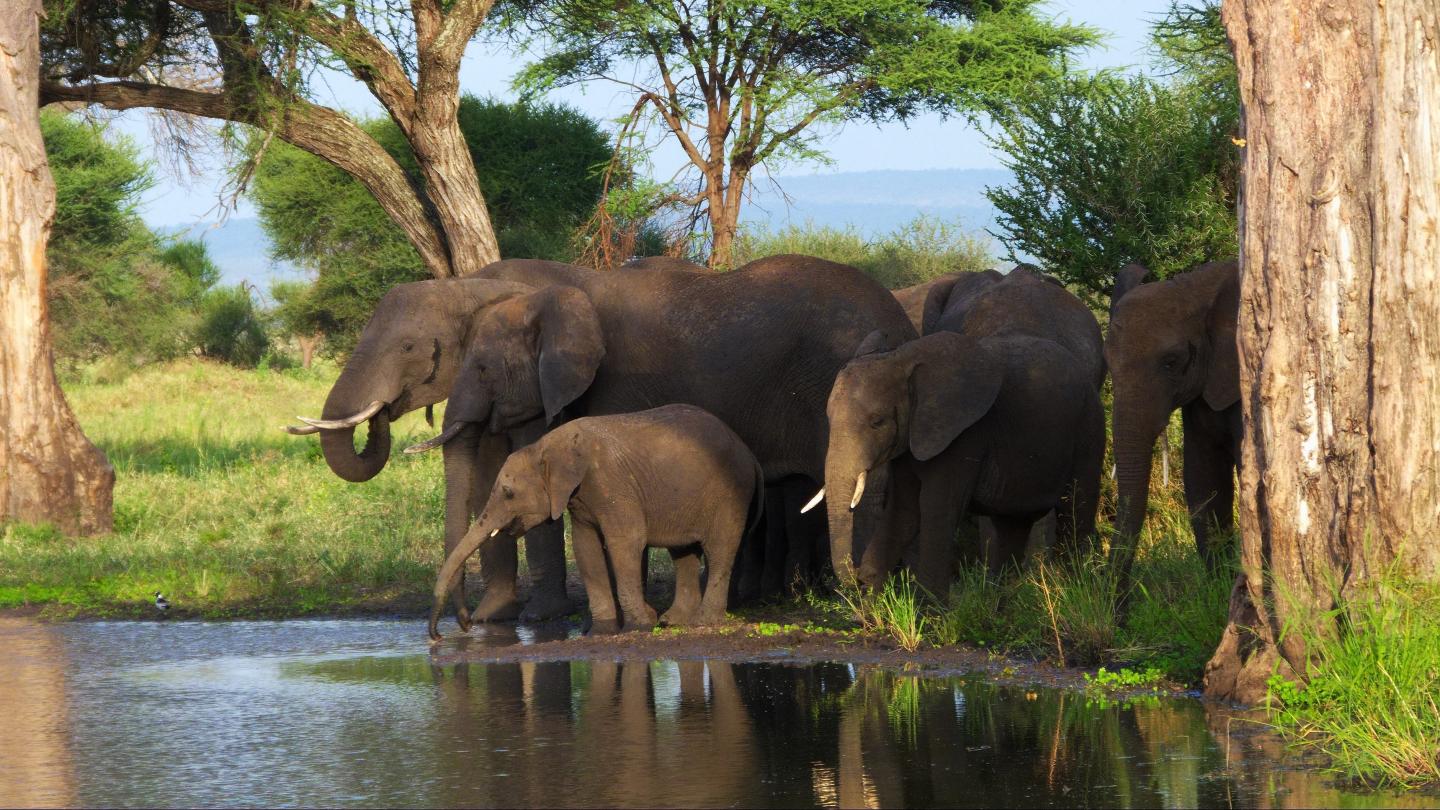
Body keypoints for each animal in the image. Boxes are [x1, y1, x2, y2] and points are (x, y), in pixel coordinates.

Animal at [428, 404, 763, 638]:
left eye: (509, 493)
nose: (456, 630)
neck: (548, 445)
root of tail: (749, 454)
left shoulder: (610, 482)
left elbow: (625, 541)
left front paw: (639, 626)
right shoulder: (579, 497)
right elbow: (585, 547)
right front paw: (603, 630)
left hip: (730, 492)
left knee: (719, 549)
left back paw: (703, 622)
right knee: (683, 553)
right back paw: (674, 621)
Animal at [813, 329, 1105, 596]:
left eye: (877, 422)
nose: (856, 576)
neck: (903, 358)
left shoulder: (965, 434)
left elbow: (936, 507)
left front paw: (929, 610)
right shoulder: (911, 438)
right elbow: (904, 510)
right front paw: (873, 603)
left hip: (1089, 427)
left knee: (1075, 510)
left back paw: (1078, 588)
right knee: (1012, 525)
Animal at [1105, 259, 1240, 601]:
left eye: (1171, 361)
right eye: (1107, 363)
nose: (1121, 610)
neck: (1195, 286)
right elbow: (1203, 479)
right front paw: (1220, 592)